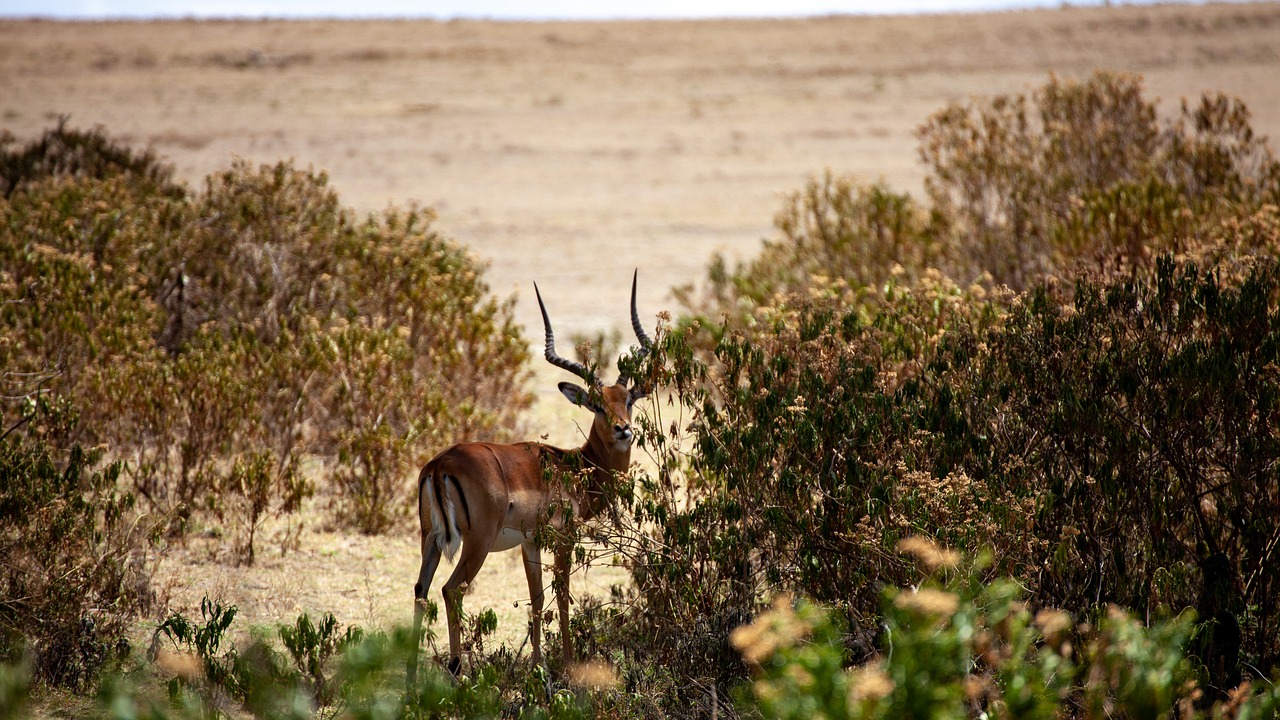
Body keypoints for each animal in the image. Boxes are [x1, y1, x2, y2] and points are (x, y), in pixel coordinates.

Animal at [407, 269, 650, 676]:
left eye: (628, 400)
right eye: (597, 405)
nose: (623, 430)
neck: (574, 466)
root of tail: (441, 463)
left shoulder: (530, 542)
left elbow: (536, 599)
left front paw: (538, 666)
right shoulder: (563, 538)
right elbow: (563, 598)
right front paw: (567, 664)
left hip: (431, 541)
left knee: (421, 591)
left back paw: (411, 678)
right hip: (477, 543)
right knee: (451, 590)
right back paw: (458, 669)